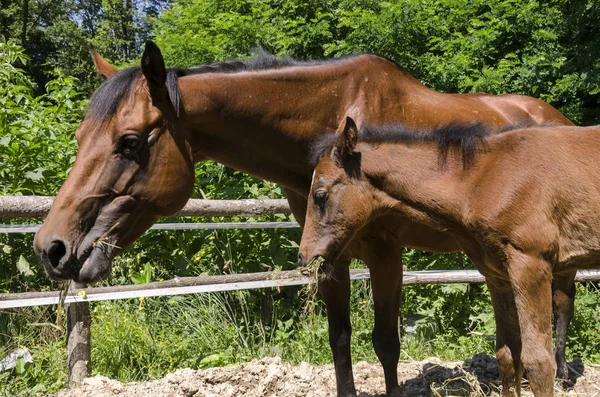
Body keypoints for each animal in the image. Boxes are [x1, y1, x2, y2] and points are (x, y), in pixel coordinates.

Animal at [34, 41, 576, 394]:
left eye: (129, 142)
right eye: (79, 137)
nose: (50, 248)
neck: (335, 121)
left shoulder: (385, 252)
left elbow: (386, 343)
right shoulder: (330, 255)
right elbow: (340, 342)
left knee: (561, 304)